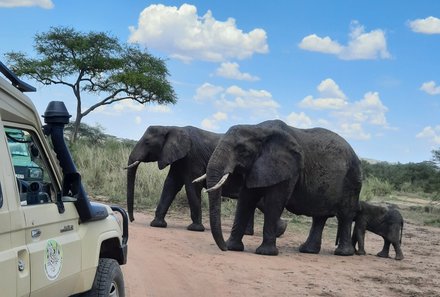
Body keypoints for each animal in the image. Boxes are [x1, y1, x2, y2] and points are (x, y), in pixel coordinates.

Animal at [126, 123, 288, 235]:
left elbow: (191, 186)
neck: (171, 127)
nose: (132, 219)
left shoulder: (192, 157)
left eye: (147, 143)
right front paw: (157, 224)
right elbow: (171, 185)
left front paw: (195, 229)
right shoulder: (179, 158)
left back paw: (277, 231)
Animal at [205, 119, 362, 256]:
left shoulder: (289, 168)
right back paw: (307, 250)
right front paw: (232, 247)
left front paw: (265, 253)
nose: (224, 249)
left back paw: (343, 253)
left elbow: (274, 201)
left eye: (242, 151)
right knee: (319, 216)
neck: (258, 128)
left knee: (345, 215)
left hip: (352, 180)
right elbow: (246, 200)